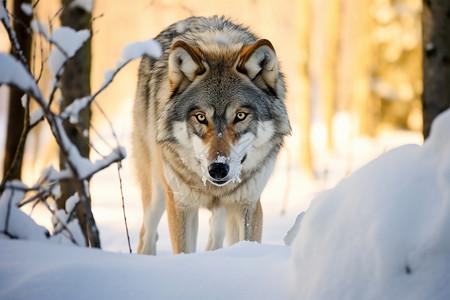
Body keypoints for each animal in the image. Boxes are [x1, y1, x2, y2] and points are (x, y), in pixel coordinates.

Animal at [132, 16, 290, 254]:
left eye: (240, 115)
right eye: (200, 117)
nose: (218, 168)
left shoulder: (247, 204)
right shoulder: (181, 205)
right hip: (157, 193)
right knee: (146, 235)